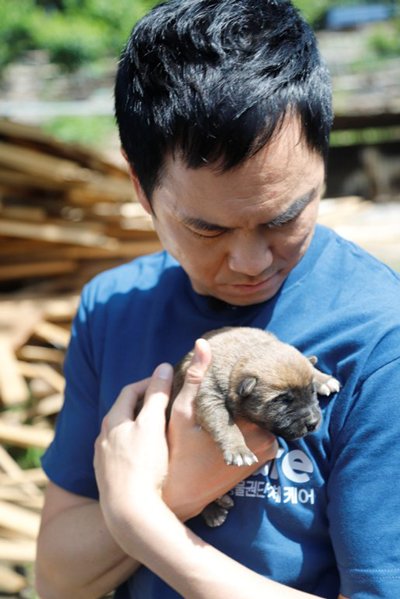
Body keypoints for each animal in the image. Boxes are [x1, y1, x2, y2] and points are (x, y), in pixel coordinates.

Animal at [172, 326, 340, 528]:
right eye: (283, 400)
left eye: (312, 392)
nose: (313, 423)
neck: (243, 354)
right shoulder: (208, 395)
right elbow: (225, 425)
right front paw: (239, 450)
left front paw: (322, 378)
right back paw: (215, 511)